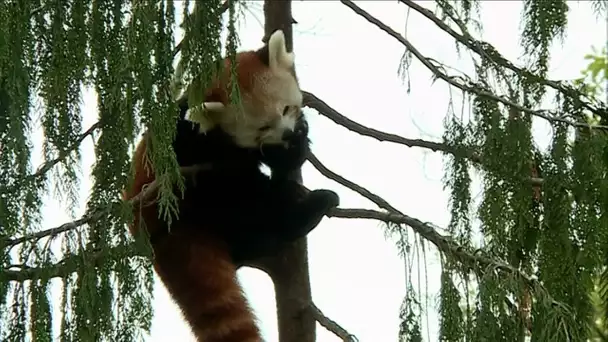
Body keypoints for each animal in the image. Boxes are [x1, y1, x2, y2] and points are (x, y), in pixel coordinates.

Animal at [122, 30, 342, 342]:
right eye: (262, 128)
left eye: (286, 108)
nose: (287, 133)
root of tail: (153, 231)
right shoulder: (190, 142)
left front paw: (297, 141)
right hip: (191, 202)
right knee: (247, 207)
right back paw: (306, 210)